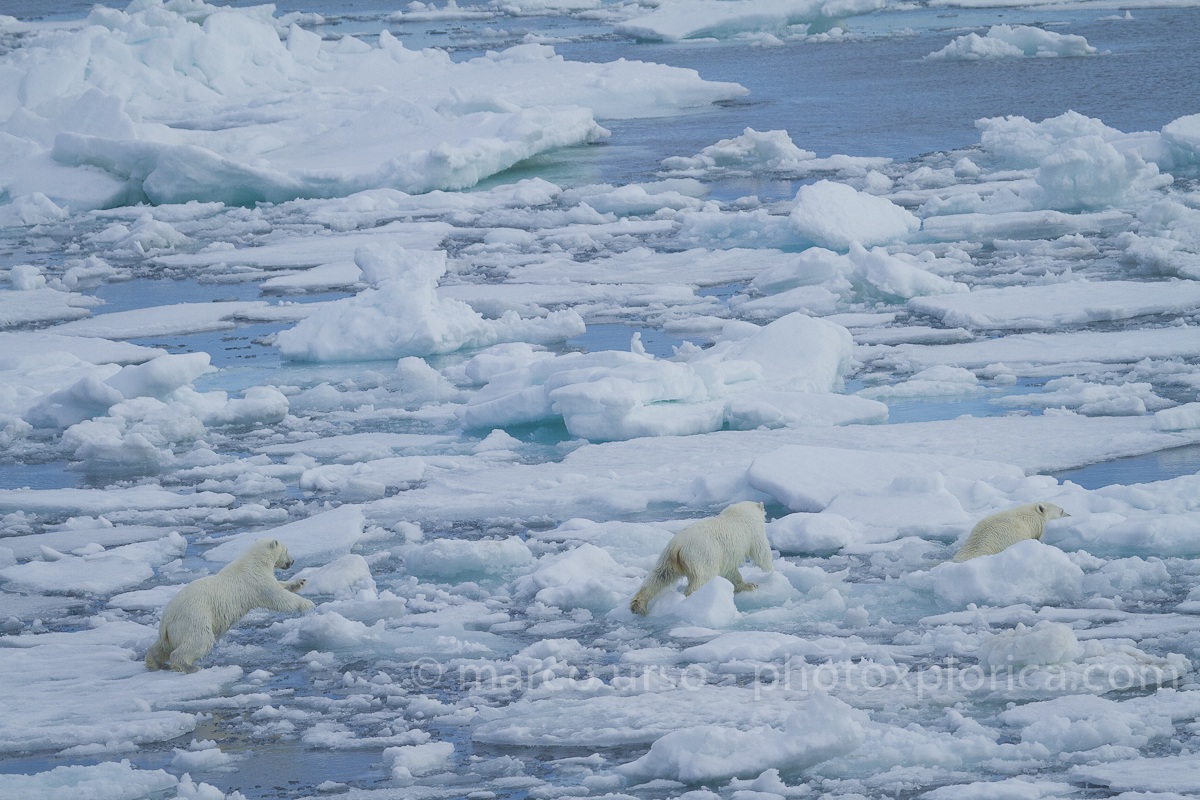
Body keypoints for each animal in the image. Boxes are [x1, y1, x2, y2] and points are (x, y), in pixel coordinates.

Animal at [145, 538, 315, 673]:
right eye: (287, 550)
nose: (292, 561)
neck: (255, 562)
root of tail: (165, 620)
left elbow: (280, 585)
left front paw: (300, 582)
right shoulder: (256, 582)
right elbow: (278, 598)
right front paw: (308, 604)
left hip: (172, 630)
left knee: (161, 647)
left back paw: (155, 662)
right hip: (194, 618)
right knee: (198, 641)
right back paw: (189, 666)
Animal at [630, 500, 773, 615]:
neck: (739, 512)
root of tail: (677, 546)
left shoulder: (726, 555)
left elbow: (731, 571)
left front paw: (748, 585)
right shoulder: (753, 532)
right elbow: (761, 552)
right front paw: (770, 572)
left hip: (667, 558)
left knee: (659, 577)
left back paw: (638, 604)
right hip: (702, 555)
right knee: (702, 578)